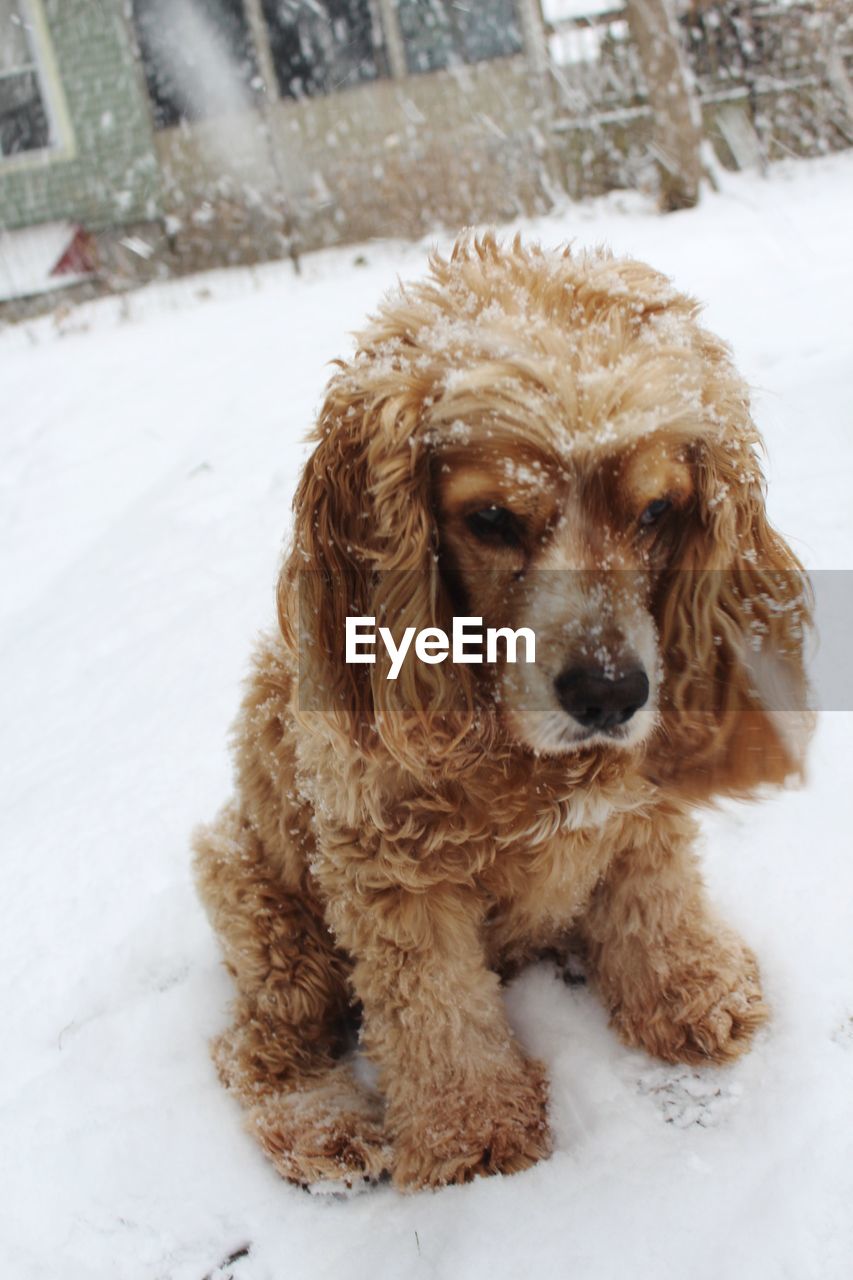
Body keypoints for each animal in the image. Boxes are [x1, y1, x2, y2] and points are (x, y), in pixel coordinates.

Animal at [194, 232, 809, 1187]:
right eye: (490, 518)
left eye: (657, 510)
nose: (609, 693)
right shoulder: (388, 874)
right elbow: (437, 1010)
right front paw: (471, 1130)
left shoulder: (640, 807)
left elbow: (654, 896)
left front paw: (689, 991)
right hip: (260, 905)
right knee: (260, 1046)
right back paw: (321, 1129)